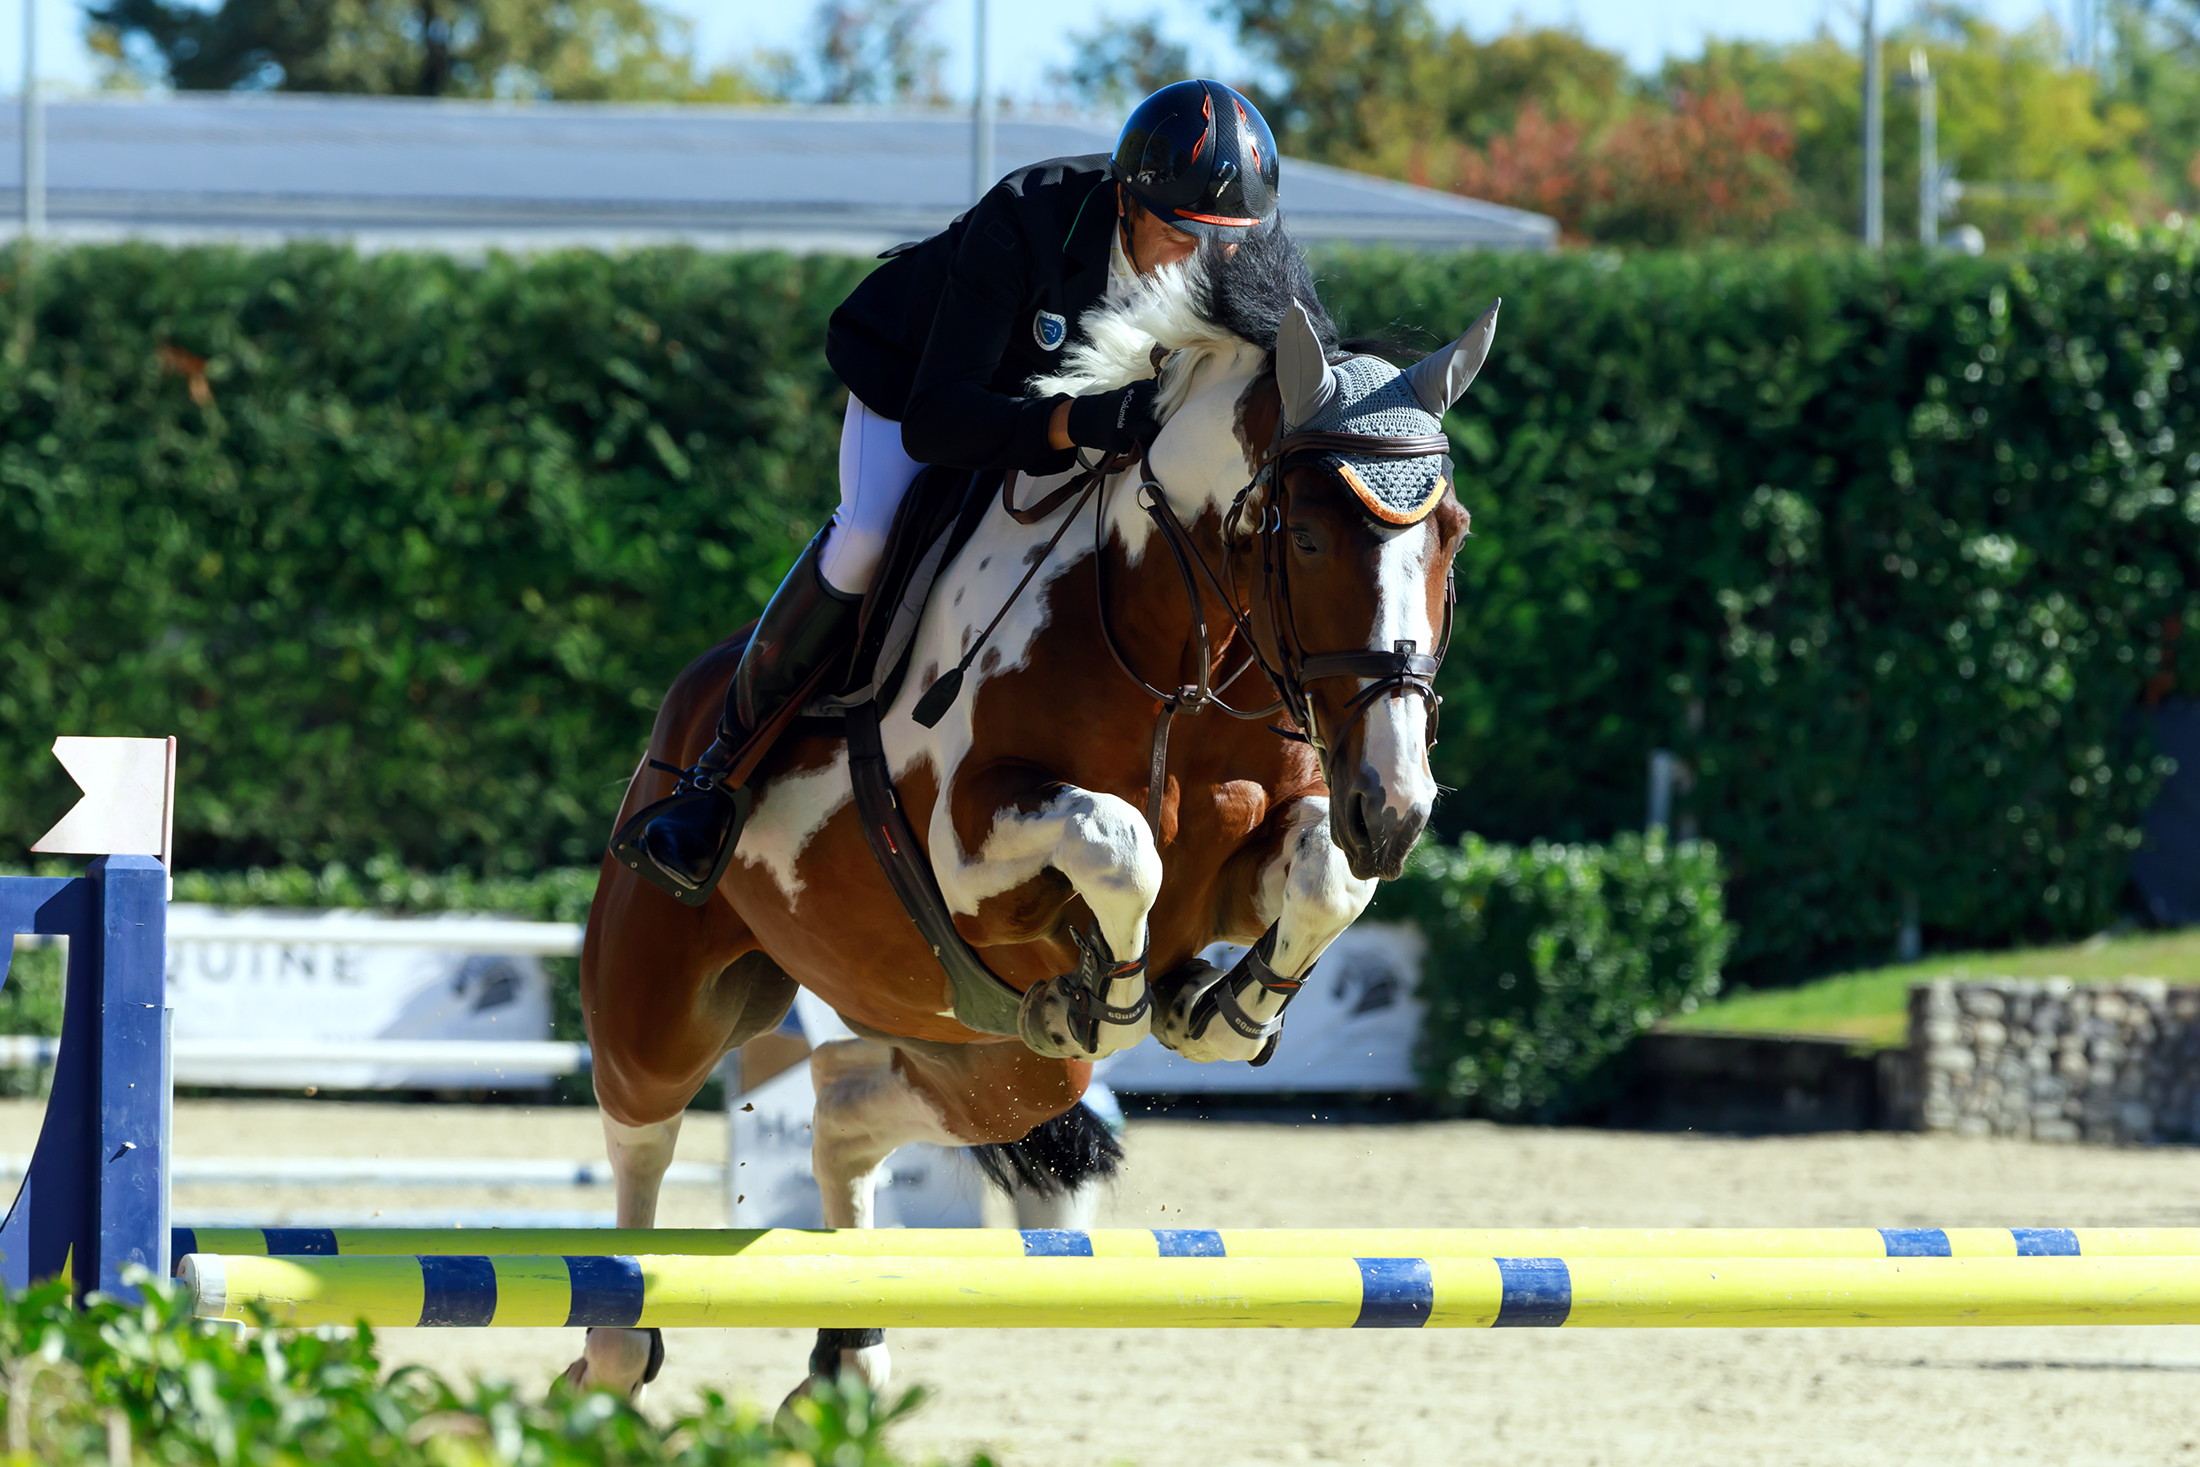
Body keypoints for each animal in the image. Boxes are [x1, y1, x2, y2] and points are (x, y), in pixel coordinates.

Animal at [564, 228, 1496, 1402]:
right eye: (1313, 539)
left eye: (1452, 536)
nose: (1398, 808)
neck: (1172, 651)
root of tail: (688, 704)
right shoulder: (970, 852)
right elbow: (1121, 844)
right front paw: (1126, 991)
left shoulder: (1265, 845)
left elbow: (1324, 875)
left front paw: (1223, 1008)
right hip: (662, 994)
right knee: (640, 1132)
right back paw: (612, 1348)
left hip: (995, 1062)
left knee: (844, 1111)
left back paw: (846, 1361)